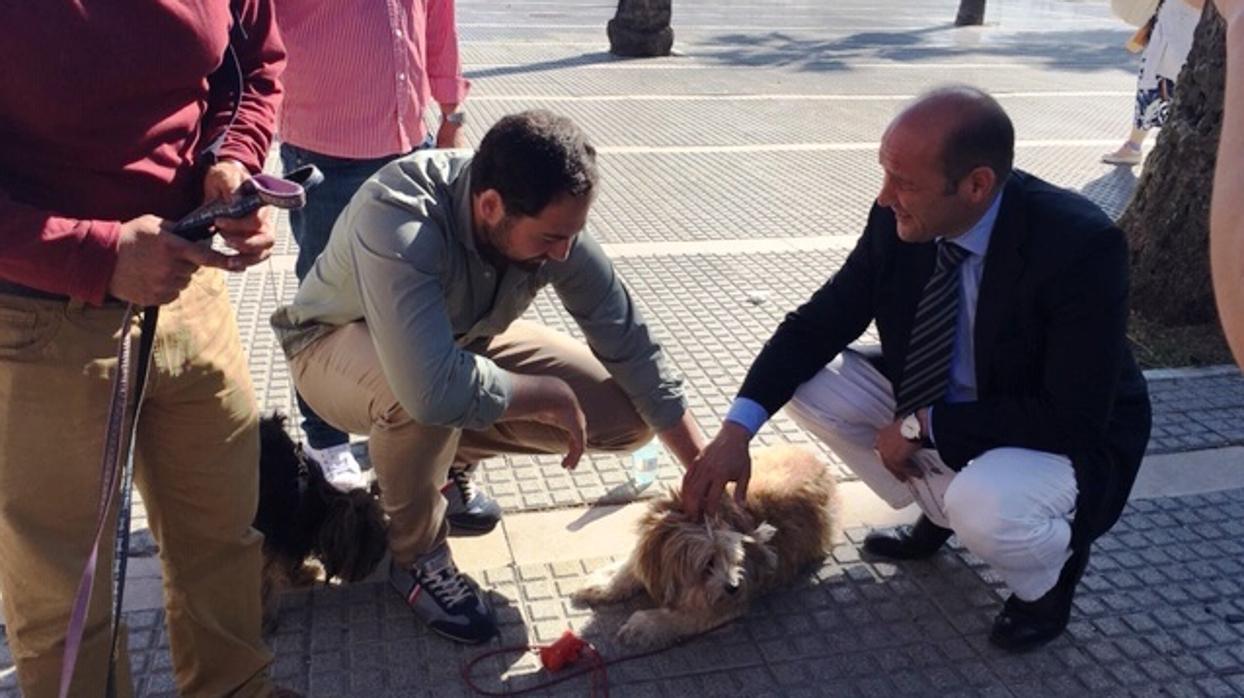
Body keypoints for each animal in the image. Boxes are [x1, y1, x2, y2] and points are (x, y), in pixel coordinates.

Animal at [572, 445, 835, 646]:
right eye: (707, 564)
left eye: (735, 558)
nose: (734, 586)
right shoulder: (650, 549)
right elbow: (630, 569)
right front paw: (605, 583)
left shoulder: (723, 604)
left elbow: (683, 617)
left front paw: (644, 625)